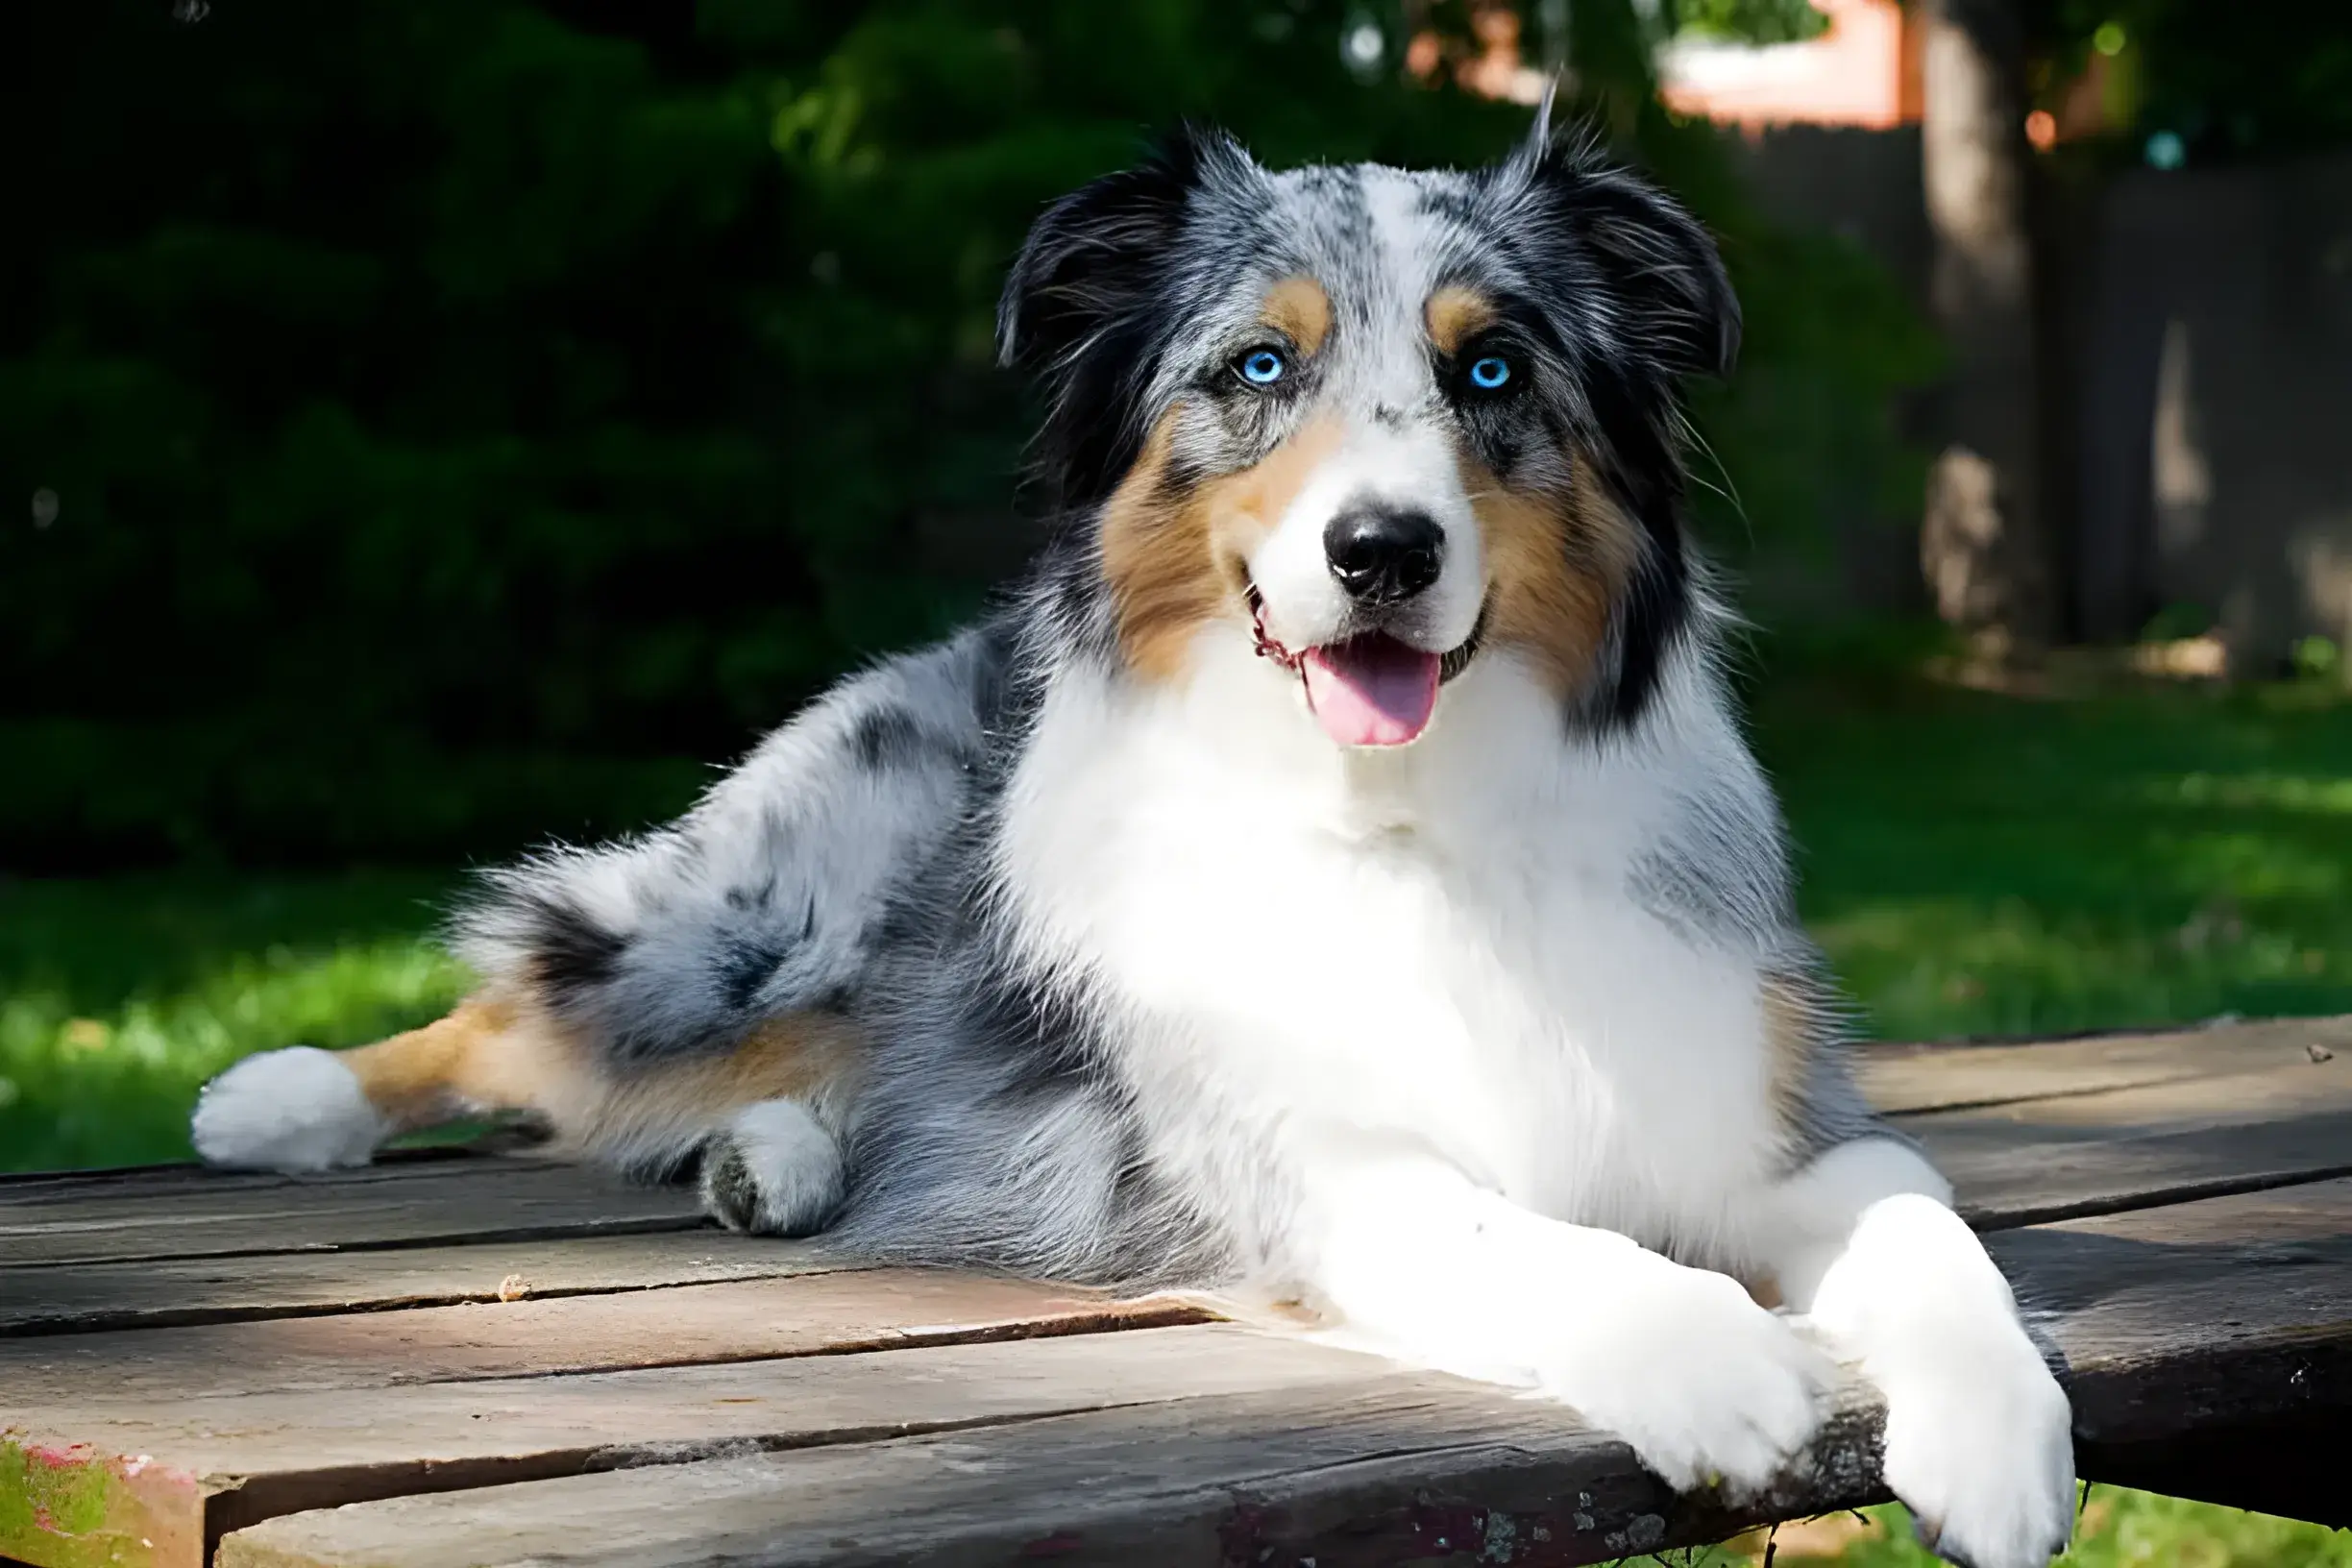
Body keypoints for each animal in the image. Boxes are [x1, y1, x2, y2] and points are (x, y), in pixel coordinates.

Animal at [197, 113, 2079, 1568]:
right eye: (1258, 366)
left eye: (1493, 368)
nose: (1382, 548)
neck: (1407, 820)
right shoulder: (1293, 1167)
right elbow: (1517, 1233)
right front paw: (1712, 1355)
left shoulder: (1771, 1131)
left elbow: (1928, 1225)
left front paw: (2000, 1441)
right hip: (764, 926)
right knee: (535, 1003)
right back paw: (285, 1098)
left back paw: (777, 1159)